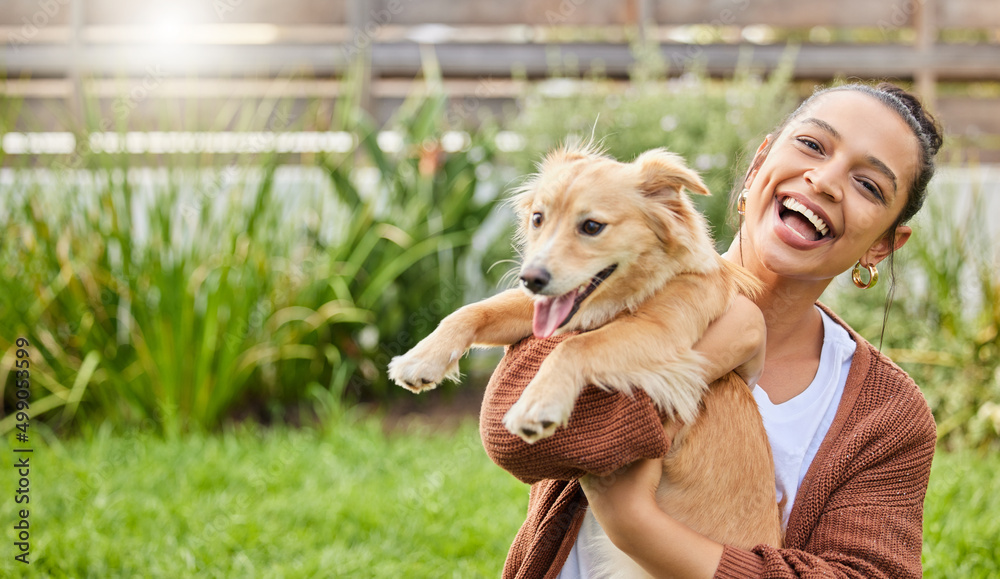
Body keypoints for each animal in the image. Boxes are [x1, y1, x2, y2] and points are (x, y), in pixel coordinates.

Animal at [386, 145, 784, 576]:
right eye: (538, 218)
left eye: (592, 226)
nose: (530, 278)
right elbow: (475, 309)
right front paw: (421, 359)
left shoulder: (661, 334)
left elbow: (574, 348)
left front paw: (537, 405)